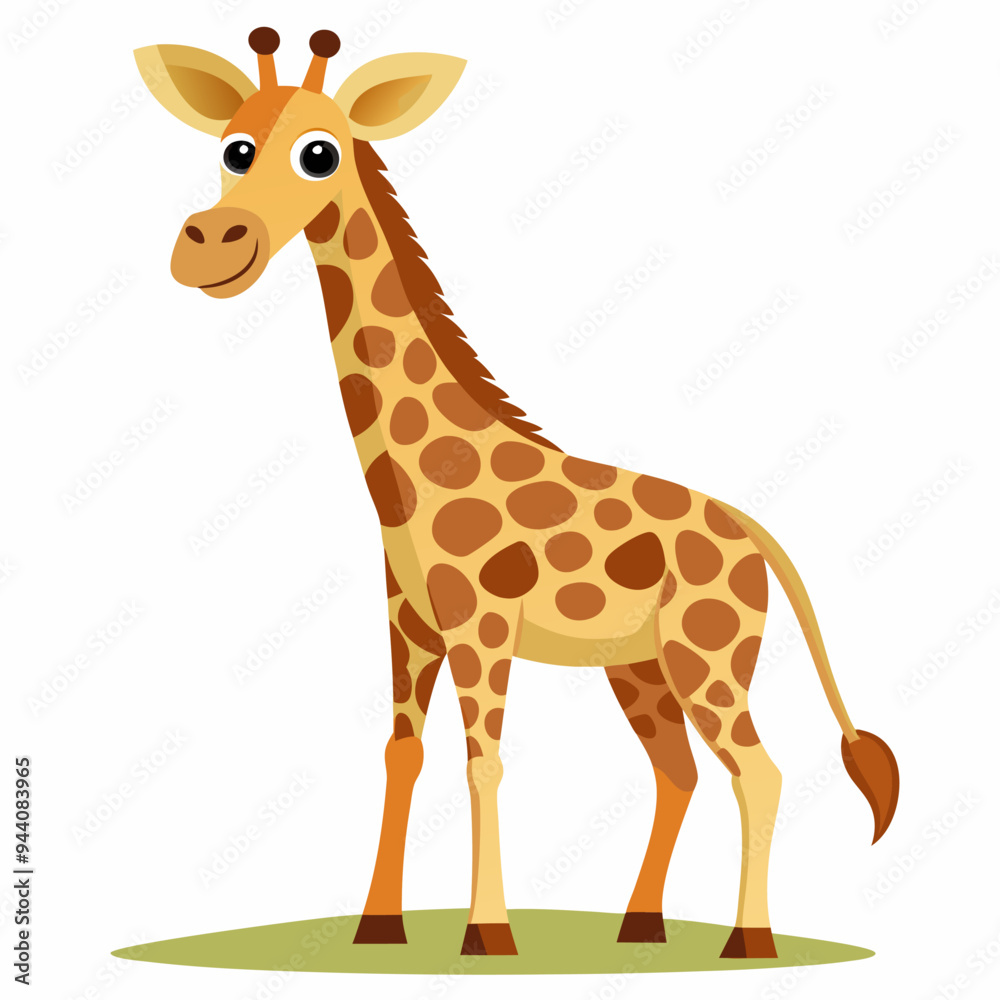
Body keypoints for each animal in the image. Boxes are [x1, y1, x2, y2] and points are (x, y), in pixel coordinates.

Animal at [134, 28, 900, 959]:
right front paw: (378, 925)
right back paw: (640, 926)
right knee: (677, 771)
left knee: (758, 768)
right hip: (639, 667)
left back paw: (746, 942)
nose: (211, 244)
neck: (408, 480)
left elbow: (484, 762)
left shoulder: (483, 625)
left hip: (709, 653)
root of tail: (754, 532)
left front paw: (487, 933)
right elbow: (402, 754)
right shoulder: (409, 624)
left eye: (320, 152)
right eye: (233, 147)